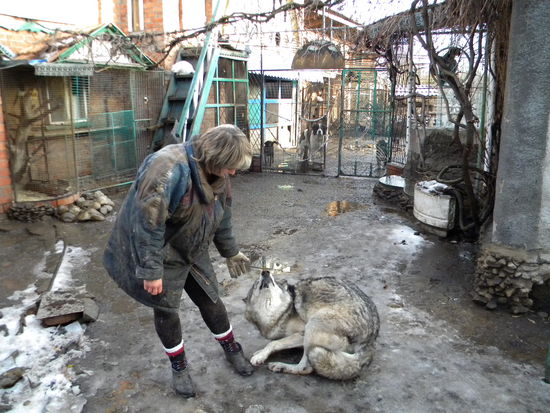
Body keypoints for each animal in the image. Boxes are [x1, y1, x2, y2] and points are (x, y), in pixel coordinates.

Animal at [245, 271, 380, 380]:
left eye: (275, 282)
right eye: (256, 284)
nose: (265, 272)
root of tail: (370, 340)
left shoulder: (301, 333)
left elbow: (273, 343)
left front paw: (260, 356)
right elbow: (275, 343)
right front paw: (260, 352)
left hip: (312, 326)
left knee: (305, 368)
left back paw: (280, 366)